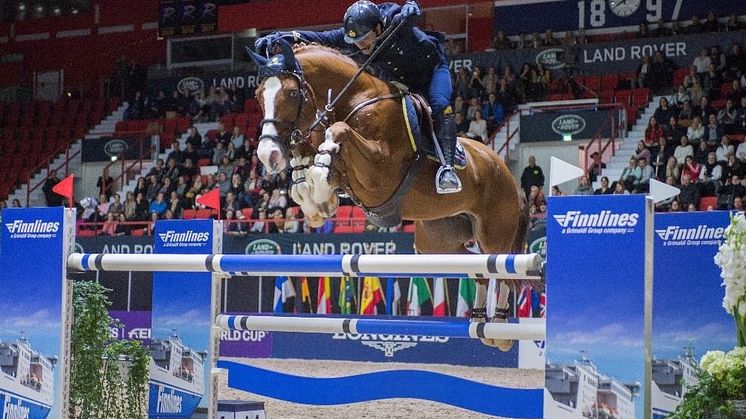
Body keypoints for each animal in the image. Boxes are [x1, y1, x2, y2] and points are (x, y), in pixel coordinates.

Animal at [250, 43, 528, 352]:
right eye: (258, 95)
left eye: (291, 93)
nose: (268, 155)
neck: (355, 102)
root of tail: (508, 174)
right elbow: (310, 160)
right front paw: (317, 203)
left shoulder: (379, 173)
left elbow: (338, 133)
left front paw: (320, 191)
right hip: (436, 243)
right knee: (478, 268)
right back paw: (479, 318)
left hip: (494, 230)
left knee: (502, 268)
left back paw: (499, 329)